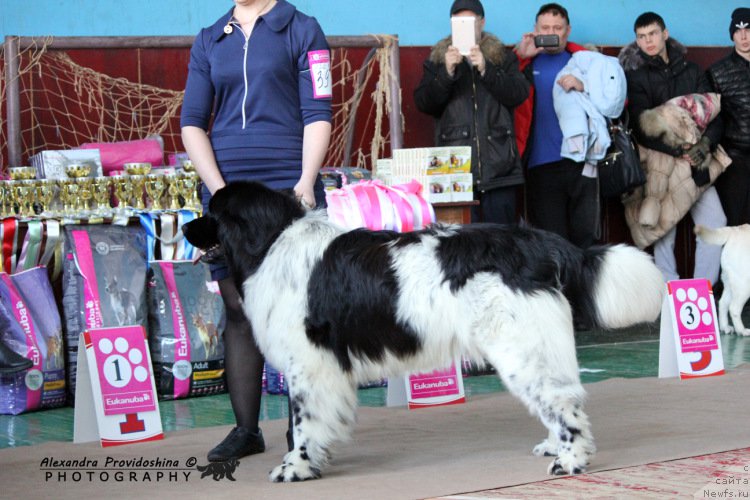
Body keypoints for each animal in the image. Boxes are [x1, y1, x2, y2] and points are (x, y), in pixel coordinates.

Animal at [185, 182, 668, 482]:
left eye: (212, 213)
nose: (185, 224)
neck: (273, 242)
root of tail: (537, 242)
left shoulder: (310, 364)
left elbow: (304, 424)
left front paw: (296, 468)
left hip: (522, 348)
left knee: (565, 405)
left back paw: (570, 461)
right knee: (557, 399)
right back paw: (554, 448)